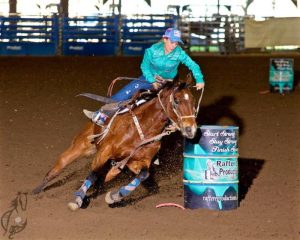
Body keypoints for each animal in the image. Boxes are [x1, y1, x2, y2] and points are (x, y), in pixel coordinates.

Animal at [32, 73, 198, 210]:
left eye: (193, 101)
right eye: (176, 101)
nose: (191, 129)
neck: (143, 129)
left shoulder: (138, 161)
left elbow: (143, 175)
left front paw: (114, 197)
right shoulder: (105, 151)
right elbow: (93, 174)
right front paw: (77, 199)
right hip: (80, 146)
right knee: (59, 166)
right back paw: (37, 190)